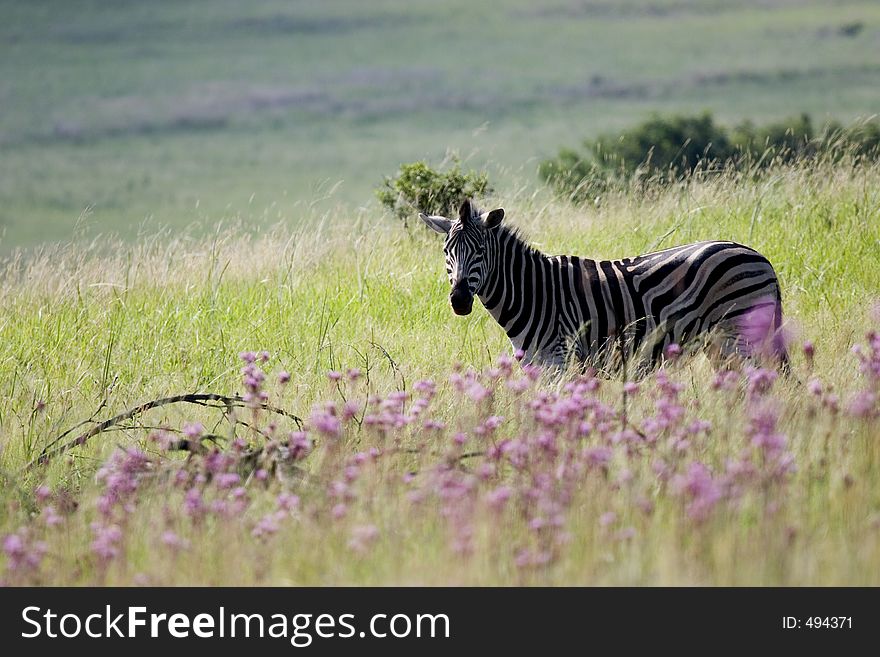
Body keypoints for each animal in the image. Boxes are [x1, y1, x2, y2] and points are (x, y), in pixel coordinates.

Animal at [420, 197, 792, 372]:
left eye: (481, 252)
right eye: (446, 251)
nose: (459, 300)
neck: (531, 291)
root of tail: (757, 255)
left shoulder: (561, 361)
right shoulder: (535, 365)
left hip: (739, 335)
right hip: (722, 344)